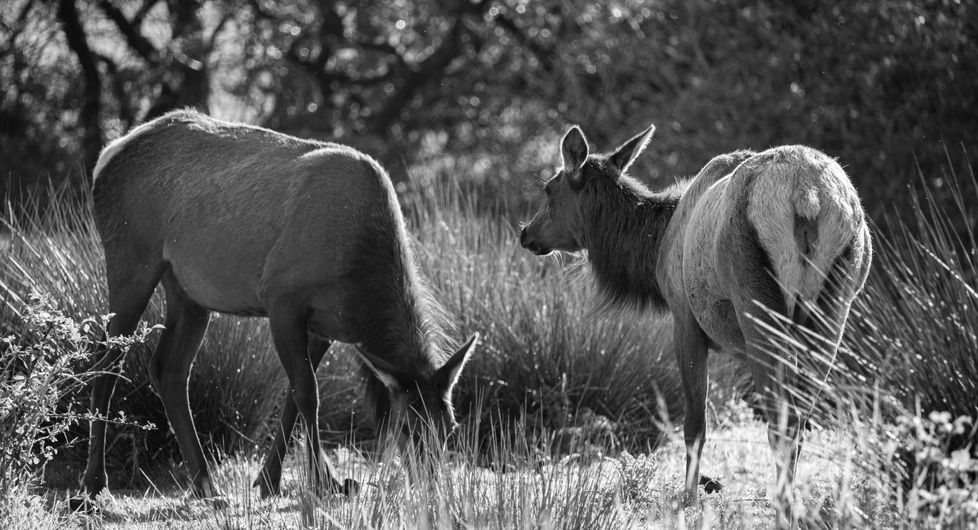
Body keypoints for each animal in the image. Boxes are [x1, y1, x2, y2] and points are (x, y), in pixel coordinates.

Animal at [81, 109, 478, 502]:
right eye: (408, 425)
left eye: (451, 426)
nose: (431, 488)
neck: (358, 278)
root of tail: (106, 158)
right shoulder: (282, 299)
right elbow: (307, 393)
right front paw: (324, 482)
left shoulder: (324, 327)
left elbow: (292, 395)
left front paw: (269, 480)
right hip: (131, 259)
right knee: (105, 360)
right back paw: (94, 484)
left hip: (187, 290)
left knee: (169, 370)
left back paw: (206, 486)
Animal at [520, 124, 872, 524]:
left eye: (549, 188)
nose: (526, 233)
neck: (656, 247)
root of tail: (808, 195)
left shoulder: (685, 319)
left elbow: (694, 425)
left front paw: (688, 499)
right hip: (835, 303)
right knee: (800, 418)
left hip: (756, 296)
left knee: (781, 421)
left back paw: (782, 508)